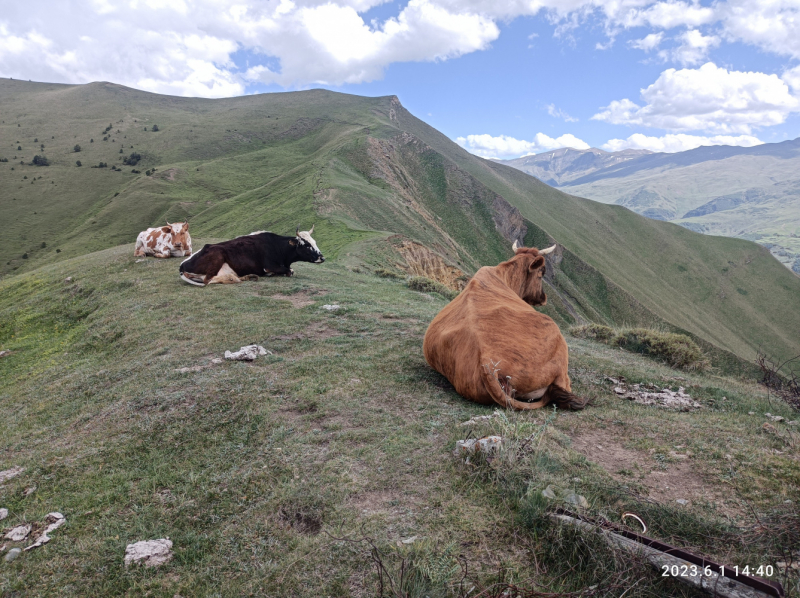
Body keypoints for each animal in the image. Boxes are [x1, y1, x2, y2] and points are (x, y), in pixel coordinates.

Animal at [179, 227, 324, 288]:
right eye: (306, 244)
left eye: (315, 241)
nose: (322, 258)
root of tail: (182, 265)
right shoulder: (269, 266)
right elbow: (289, 271)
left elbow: (291, 270)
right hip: (217, 256)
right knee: (208, 280)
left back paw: (247, 276)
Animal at [422, 244, 584, 412]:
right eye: (541, 272)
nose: (543, 297)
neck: (505, 277)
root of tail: (487, 361)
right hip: (559, 346)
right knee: (563, 386)